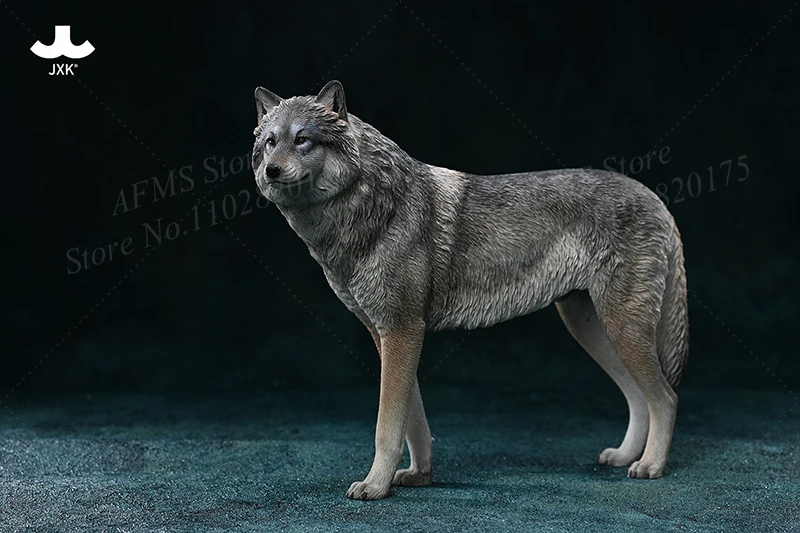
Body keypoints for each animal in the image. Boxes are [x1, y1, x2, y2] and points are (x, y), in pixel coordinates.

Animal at [252, 81, 689, 500]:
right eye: (271, 141)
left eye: (303, 139)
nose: (271, 171)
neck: (369, 209)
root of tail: (656, 199)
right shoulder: (386, 335)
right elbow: (413, 422)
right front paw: (418, 477)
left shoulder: (402, 331)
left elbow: (387, 426)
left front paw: (376, 487)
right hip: (593, 330)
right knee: (639, 397)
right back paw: (626, 456)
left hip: (620, 330)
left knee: (665, 398)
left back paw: (650, 466)